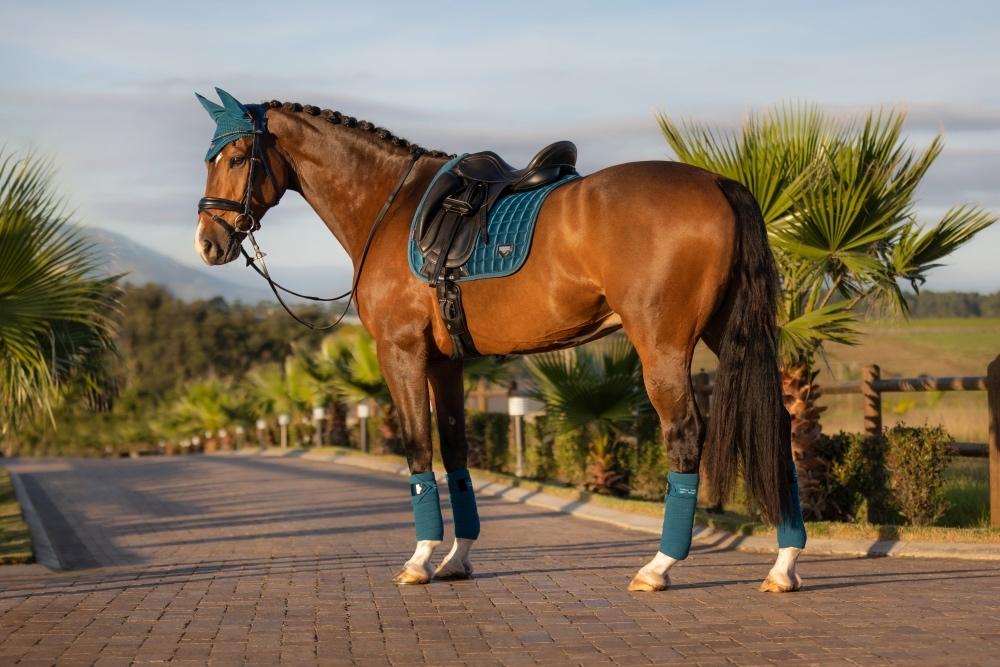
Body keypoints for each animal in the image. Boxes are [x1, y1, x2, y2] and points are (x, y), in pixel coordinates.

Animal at [192, 88, 807, 593]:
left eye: (238, 157)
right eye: (210, 159)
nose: (207, 244)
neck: (391, 205)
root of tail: (719, 182)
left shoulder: (402, 352)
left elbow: (417, 446)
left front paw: (420, 559)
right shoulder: (445, 362)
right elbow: (456, 451)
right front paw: (457, 558)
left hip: (663, 345)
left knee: (684, 435)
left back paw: (659, 566)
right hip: (728, 333)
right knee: (777, 425)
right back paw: (784, 563)